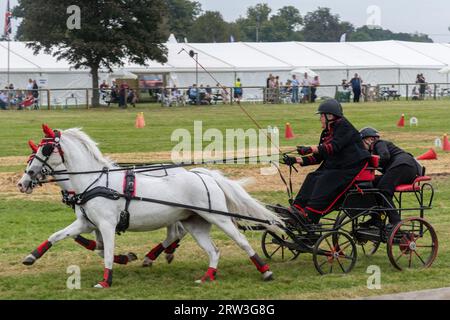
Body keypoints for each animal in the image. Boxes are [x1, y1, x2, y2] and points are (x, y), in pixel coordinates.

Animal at [19, 124, 284, 288]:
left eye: (45, 148)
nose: (23, 181)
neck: (93, 182)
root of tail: (202, 175)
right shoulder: (86, 223)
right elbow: (59, 236)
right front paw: (32, 256)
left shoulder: (106, 225)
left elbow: (106, 253)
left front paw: (106, 280)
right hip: (194, 223)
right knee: (212, 250)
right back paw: (206, 276)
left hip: (217, 217)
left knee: (241, 240)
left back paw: (266, 271)